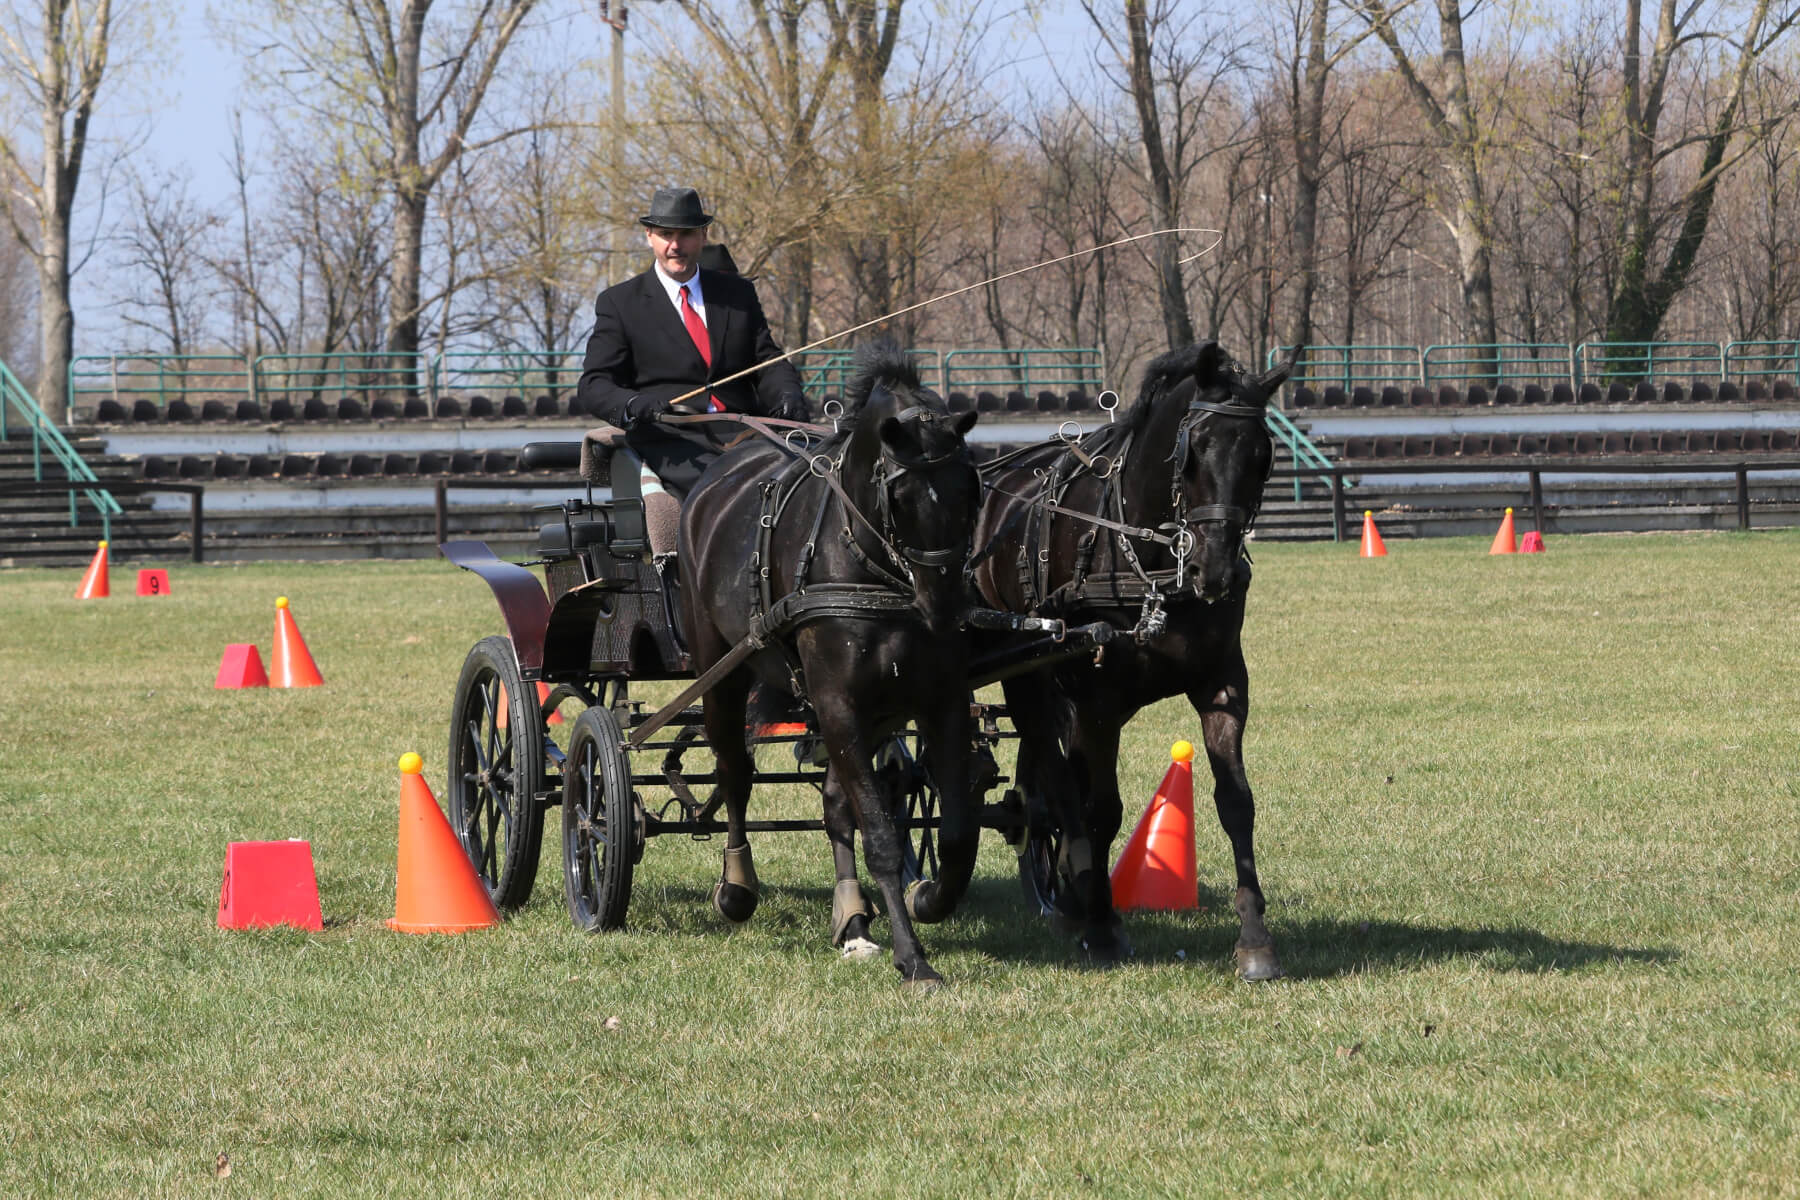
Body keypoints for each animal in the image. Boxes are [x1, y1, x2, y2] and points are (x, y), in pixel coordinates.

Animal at [679, 346, 983, 987]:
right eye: (902, 499)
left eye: (971, 489)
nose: (945, 610)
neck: (875, 568)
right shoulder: (838, 701)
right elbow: (882, 836)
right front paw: (914, 958)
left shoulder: (937, 699)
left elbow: (956, 832)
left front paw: (929, 898)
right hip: (722, 672)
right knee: (734, 770)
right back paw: (737, 887)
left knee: (834, 801)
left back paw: (853, 918)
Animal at [970, 340, 1293, 976]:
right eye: (1193, 451)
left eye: (1261, 455)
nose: (1215, 571)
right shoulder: (1095, 700)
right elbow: (1101, 809)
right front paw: (1102, 927)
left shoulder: (1223, 685)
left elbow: (1235, 802)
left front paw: (1255, 938)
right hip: (1031, 679)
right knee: (1058, 784)